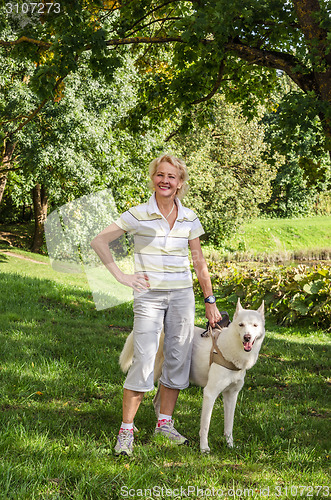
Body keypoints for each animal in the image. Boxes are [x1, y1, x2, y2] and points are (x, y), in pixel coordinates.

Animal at [118, 298, 264, 456]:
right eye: (241, 325)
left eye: (255, 325)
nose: (247, 337)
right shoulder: (210, 394)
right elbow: (205, 426)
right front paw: (204, 448)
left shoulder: (232, 395)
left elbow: (229, 426)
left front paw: (230, 446)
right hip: (149, 373)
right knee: (132, 392)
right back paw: (133, 428)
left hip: (166, 377)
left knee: (156, 401)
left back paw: (163, 430)